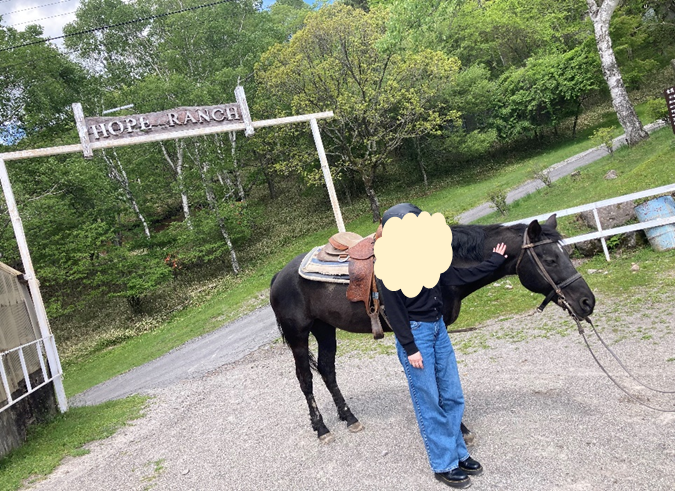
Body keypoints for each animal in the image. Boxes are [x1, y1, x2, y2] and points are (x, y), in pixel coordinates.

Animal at [270, 215, 596, 442]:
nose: (587, 301)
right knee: (305, 379)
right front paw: (457, 428)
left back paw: (349, 417)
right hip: (299, 335)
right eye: (550, 259)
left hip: (325, 329)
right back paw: (321, 428)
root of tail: (279, 276)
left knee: (327, 369)